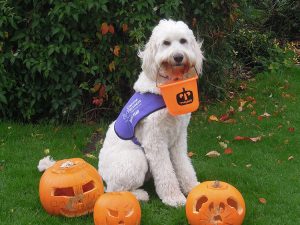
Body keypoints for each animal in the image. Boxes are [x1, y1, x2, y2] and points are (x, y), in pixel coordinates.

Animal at [98, 19, 204, 207]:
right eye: (166, 43)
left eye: (183, 41)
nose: (178, 57)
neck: (167, 87)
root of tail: (101, 173)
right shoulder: (155, 141)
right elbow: (165, 172)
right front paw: (174, 198)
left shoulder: (179, 138)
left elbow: (184, 165)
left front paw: (192, 187)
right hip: (136, 159)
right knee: (113, 190)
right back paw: (140, 195)